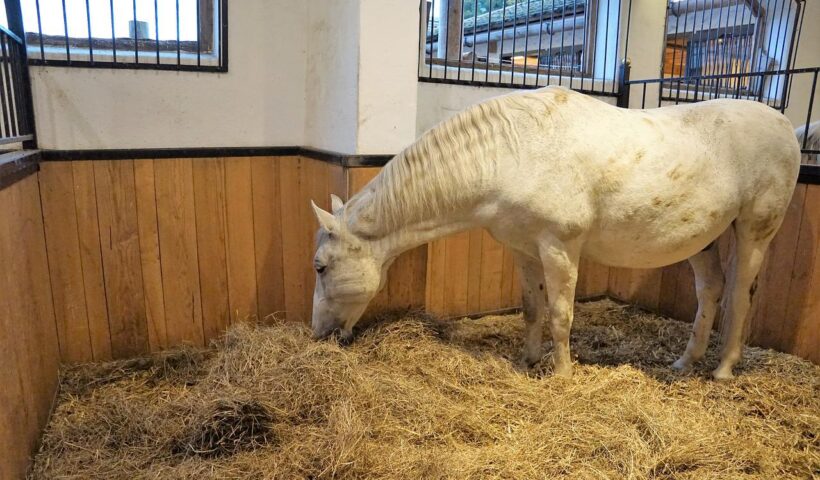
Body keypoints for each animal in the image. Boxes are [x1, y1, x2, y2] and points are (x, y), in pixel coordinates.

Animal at [309, 86, 801, 380]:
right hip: (704, 239)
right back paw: (685, 362)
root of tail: (784, 125)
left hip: (754, 232)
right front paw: (526, 360)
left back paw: (723, 370)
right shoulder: (524, 249)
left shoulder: (559, 248)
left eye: (320, 268)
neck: (509, 152)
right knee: (710, 290)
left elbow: (561, 313)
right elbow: (532, 308)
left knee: (739, 295)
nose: (318, 334)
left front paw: (562, 374)